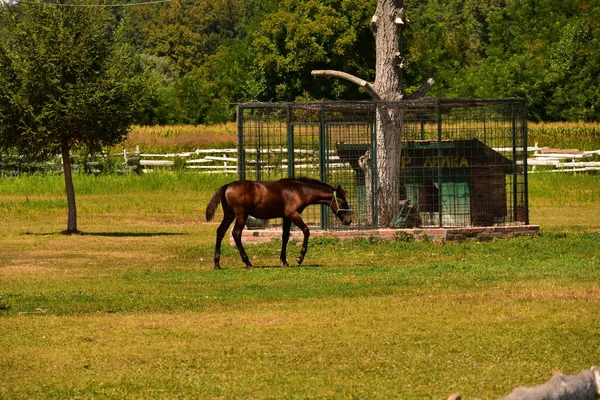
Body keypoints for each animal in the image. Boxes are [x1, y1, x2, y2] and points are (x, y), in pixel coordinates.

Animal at [206, 177, 352, 268]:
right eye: (342, 200)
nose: (348, 220)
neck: (299, 190)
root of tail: (227, 186)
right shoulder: (292, 214)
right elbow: (306, 230)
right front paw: (299, 258)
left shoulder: (286, 217)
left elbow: (285, 237)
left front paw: (285, 261)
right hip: (241, 216)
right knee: (236, 234)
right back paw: (248, 263)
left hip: (229, 215)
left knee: (220, 231)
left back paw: (217, 264)